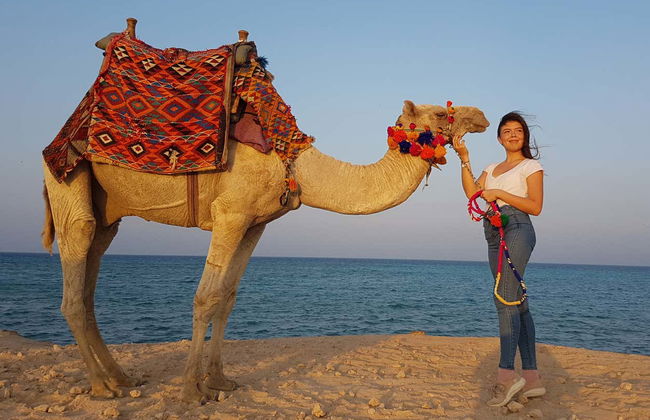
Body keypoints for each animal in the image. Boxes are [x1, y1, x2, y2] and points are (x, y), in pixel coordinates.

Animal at [41, 25, 489, 403]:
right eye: (439, 112)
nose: (481, 115)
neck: (292, 160)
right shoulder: (230, 213)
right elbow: (205, 297)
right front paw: (191, 391)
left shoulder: (255, 224)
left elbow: (227, 298)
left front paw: (219, 381)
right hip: (67, 178)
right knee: (75, 276)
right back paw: (103, 387)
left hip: (108, 211)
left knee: (92, 275)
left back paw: (120, 376)